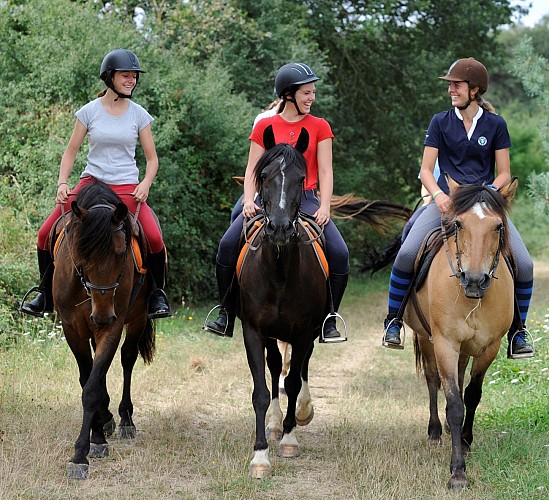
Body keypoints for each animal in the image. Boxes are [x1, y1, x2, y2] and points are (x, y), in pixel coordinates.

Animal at [52, 181, 155, 480]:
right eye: (81, 255)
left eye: (121, 254)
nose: (102, 314)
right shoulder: (72, 329)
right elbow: (88, 380)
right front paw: (96, 436)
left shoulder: (112, 328)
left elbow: (92, 388)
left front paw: (83, 452)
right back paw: (107, 419)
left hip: (137, 318)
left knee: (127, 359)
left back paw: (124, 419)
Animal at [402, 178, 520, 490]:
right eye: (458, 224)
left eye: (498, 226)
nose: (475, 280)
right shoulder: (445, 343)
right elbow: (455, 404)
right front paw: (457, 472)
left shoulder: (489, 346)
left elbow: (472, 395)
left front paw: (465, 442)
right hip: (426, 339)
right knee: (433, 380)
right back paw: (434, 431)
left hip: (467, 348)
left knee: (459, 376)